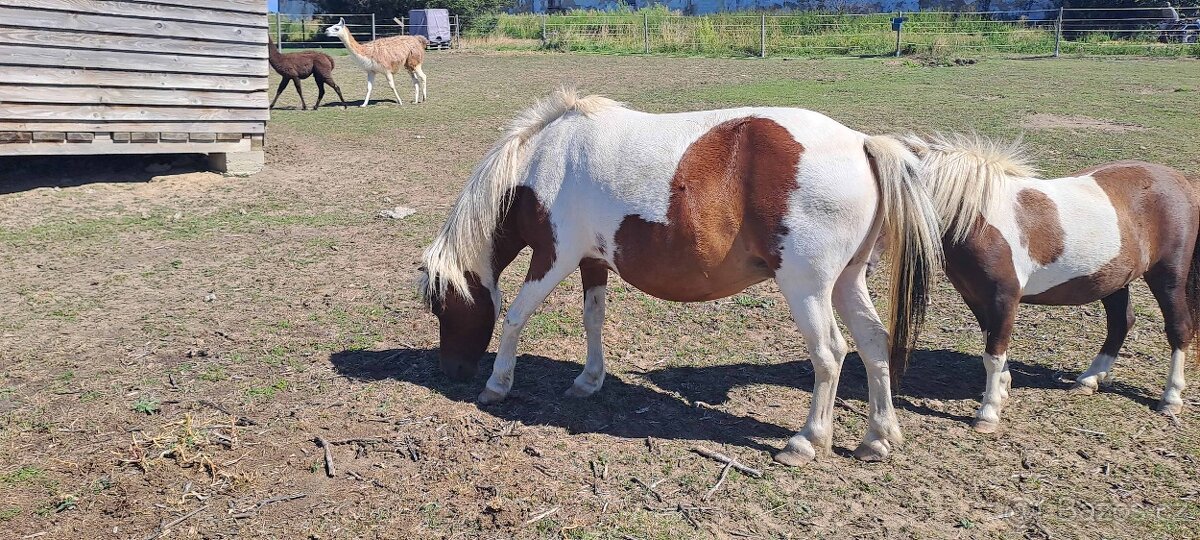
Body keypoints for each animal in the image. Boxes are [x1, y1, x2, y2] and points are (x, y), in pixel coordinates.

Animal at [418, 88, 943, 465]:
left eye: (443, 307)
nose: (452, 372)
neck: (546, 162)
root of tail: (862, 143)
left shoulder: (554, 256)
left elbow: (514, 318)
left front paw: (497, 385)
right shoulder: (591, 261)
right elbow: (593, 321)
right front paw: (588, 381)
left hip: (808, 287)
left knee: (830, 353)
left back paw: (807, 441)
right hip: (847, 282)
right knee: (873, 342)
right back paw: (878, 437)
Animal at [903, 133, 1200, 433]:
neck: (980, 222)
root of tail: (1181, 180)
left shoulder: (1003, 298)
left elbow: (994, 354)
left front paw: (988, 413)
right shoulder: (976, 298)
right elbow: (993, 345)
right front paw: (1002, 390)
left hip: (1168, 275)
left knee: (1179, 328)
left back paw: (1171, 398)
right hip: (1113, 280)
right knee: (1121, 323)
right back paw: (1089, 379)